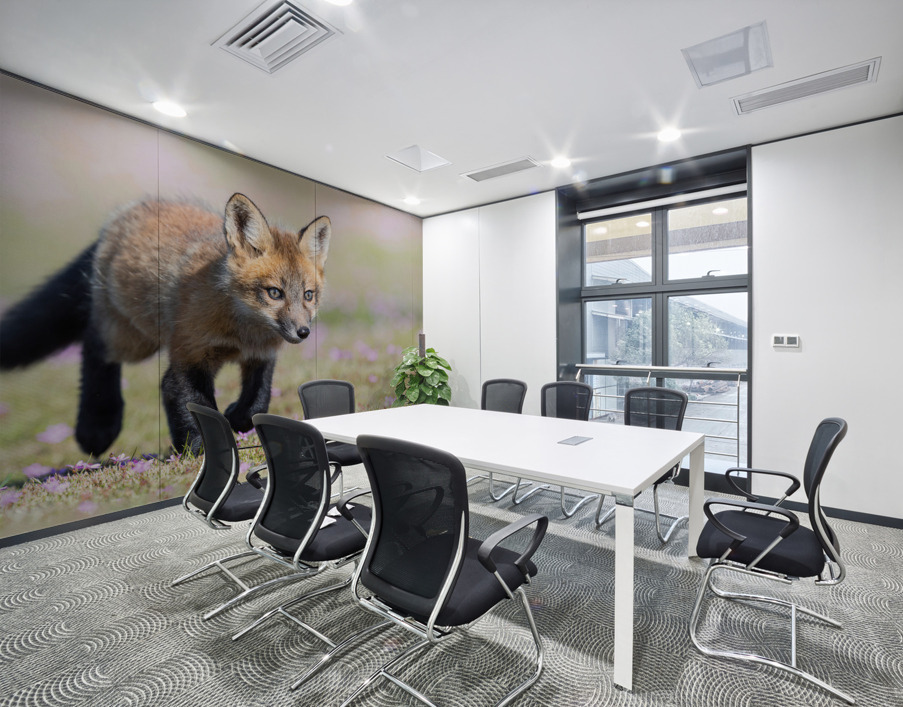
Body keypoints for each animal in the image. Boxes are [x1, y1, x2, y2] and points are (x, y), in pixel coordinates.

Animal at [0, 193, 331, 456]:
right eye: (274, 293)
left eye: (308, 295)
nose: (303, 332)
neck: (242, 334)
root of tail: (126, 214)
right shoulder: (189, 355)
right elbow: (188, 400)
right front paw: (199, 449)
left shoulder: (260, 356)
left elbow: (256, 402)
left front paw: (235, 418)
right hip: (134, 340)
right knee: (93, 345)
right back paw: (97, 427)